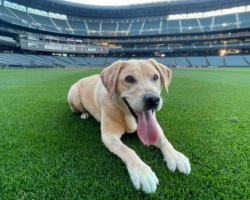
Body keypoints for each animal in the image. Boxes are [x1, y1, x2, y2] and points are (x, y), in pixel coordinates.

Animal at [67, 59, 190, 194]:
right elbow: (128, 150)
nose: (153, 99)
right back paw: (85, 114)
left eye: (155, 77)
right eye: (129, 79)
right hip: (74, 95)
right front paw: (142, 173)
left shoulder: (156, 127)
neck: (128, 116)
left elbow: (164, 141)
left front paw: (176, 156)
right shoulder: (109, 136)